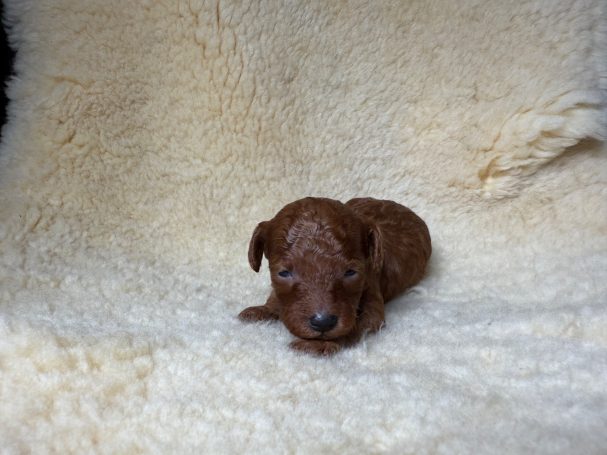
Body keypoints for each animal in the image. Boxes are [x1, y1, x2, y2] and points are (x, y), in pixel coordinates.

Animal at [239, 197, 431, 355]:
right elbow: (275, 296)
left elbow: (357, 324)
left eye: (350, 272)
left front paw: (317, 345)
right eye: (283, 273)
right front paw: (263, 309)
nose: (323, 322)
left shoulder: (372, 293)